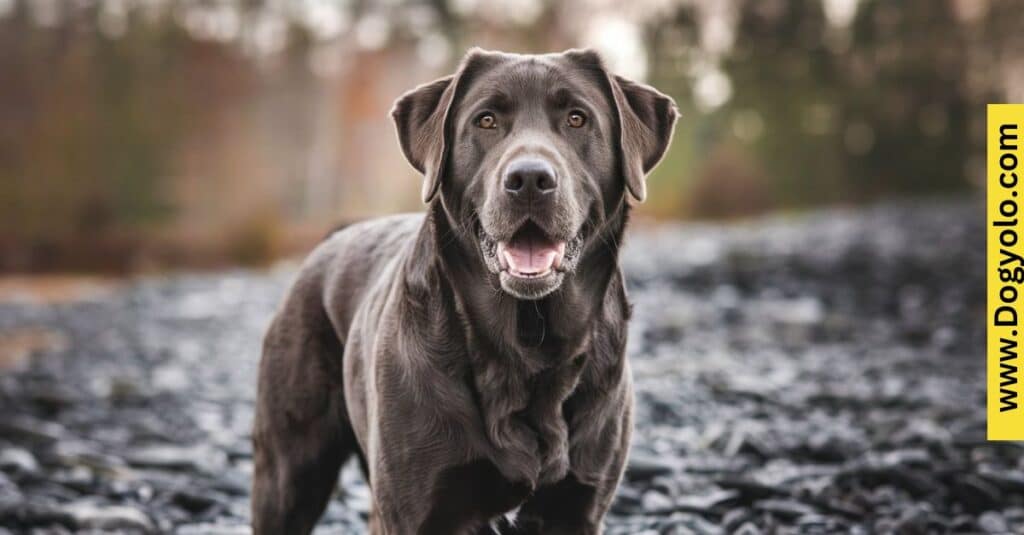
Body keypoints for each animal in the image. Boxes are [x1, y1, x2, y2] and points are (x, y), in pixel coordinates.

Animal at [251, 47, 675, 528]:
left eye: (577, 119)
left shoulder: (577, 508)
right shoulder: (415, 510)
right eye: (486, 120)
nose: (530, 179)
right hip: (288, 473)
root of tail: (332, 239)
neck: (526, 345)